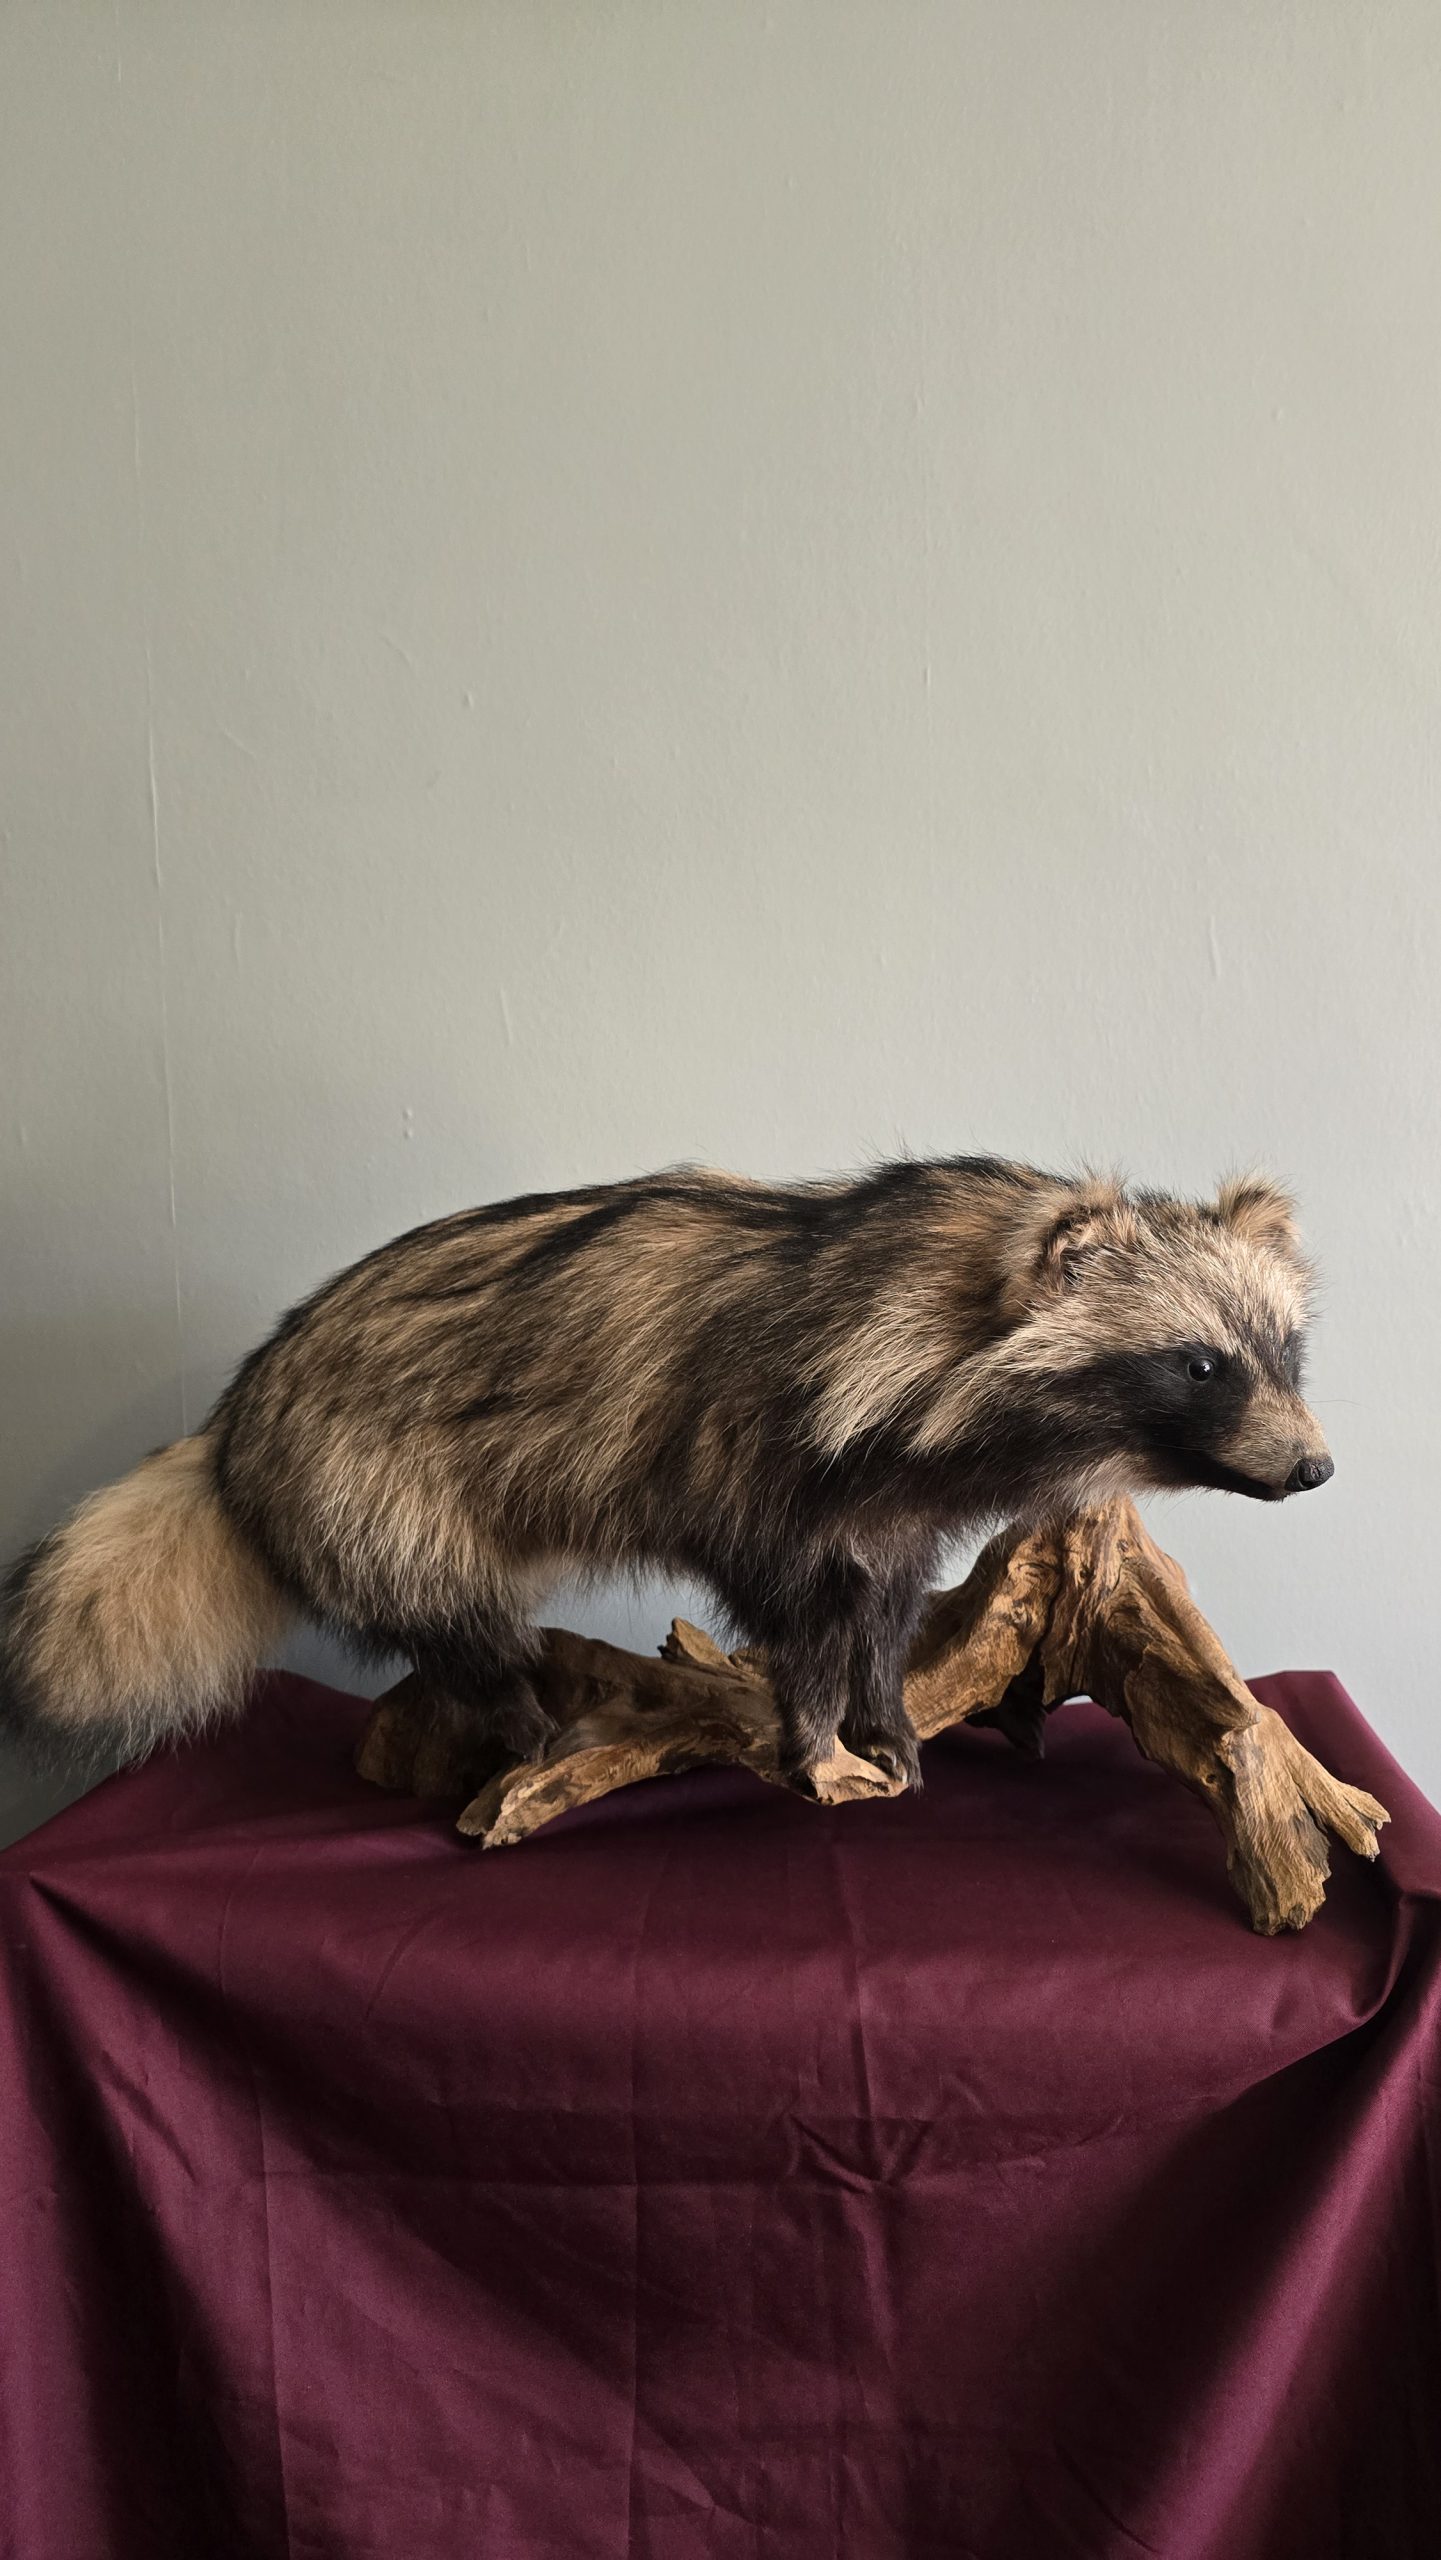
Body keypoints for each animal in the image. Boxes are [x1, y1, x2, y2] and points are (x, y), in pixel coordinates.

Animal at [0, 1159, 1331, 1795]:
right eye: (1198, 1362)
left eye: (1285, 1350)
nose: (1316, 1464)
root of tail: (232, 1421)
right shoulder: (759, 1463)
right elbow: (796, 1618)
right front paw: (819, 1745)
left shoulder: (893, 1511)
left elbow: (881, 1618)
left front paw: (889, 1722)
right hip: (373, 1485)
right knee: (454, 1623)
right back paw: (525, 1724)